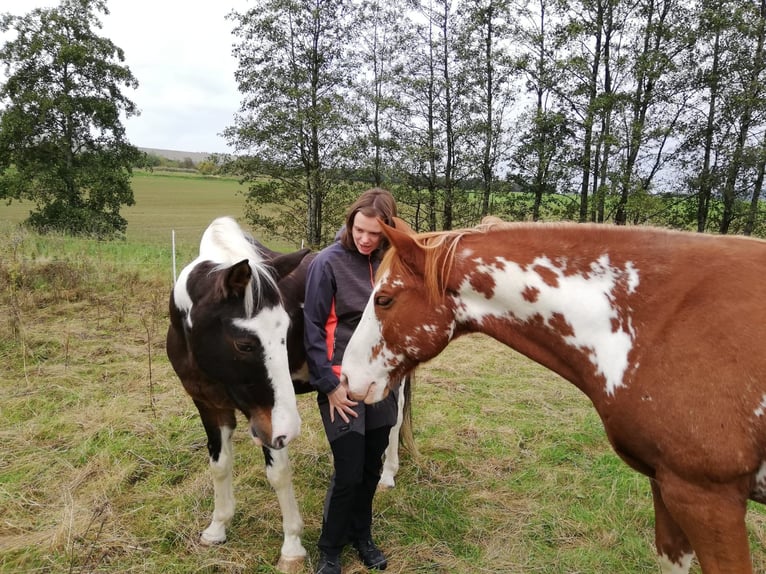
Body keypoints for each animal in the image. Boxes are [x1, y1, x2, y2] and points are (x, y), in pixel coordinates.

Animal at [166, 217, 412, 573]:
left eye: (286, 331)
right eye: (244, 344)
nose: (292, 429)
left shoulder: (269, 419)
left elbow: (279, 474)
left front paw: (292, 547)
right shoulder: (211, 406)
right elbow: (220, 465)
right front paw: (218, 527)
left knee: (394, 420)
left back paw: (389, 473)